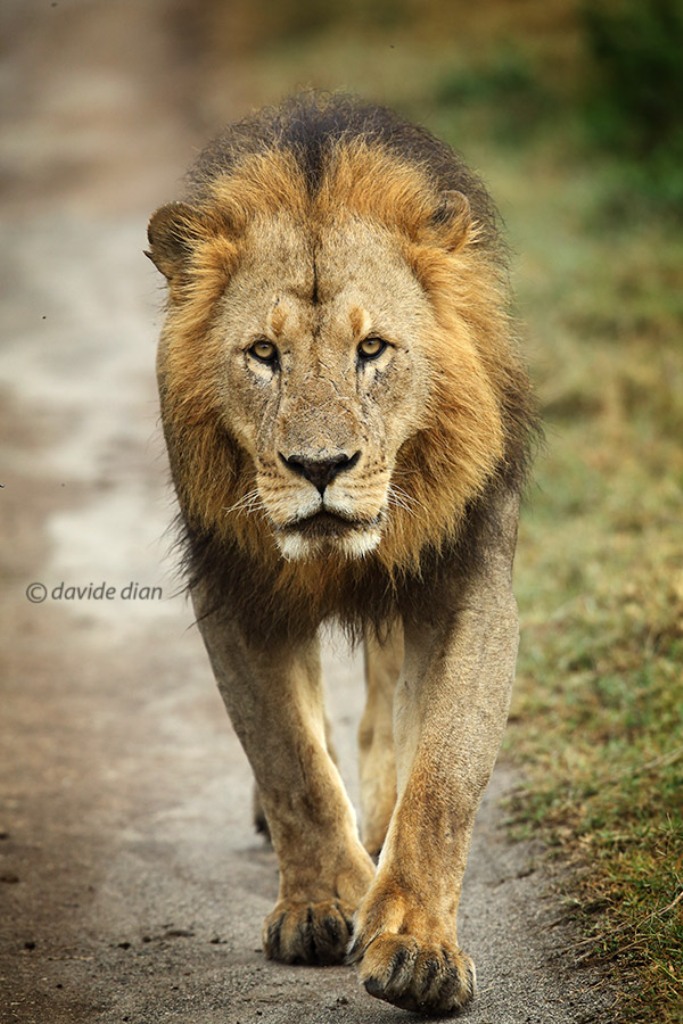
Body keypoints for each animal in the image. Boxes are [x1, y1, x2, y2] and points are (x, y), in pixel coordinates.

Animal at [147, 93, 538, 1015]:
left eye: (372, 350)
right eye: (263, 354)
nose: (319, 468)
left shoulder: (466, 587)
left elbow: (442, 776)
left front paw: (418, 948)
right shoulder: (235, 595)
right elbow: (289, 759)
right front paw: (324, 903)